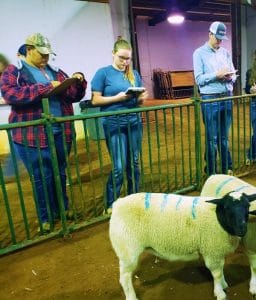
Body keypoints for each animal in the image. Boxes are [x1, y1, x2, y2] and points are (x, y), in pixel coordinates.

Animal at [108, 192, 254, 300]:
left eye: (247, 206)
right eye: (227, 208)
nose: (242, 229)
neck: (219, 219)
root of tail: (117, 204)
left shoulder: (217, 251)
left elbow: (221, 269)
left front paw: (224, 285)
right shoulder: (211, 250)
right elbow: (217, 274)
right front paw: (220, 293)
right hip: (127, 249)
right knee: (124, 278)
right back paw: (131, 297)